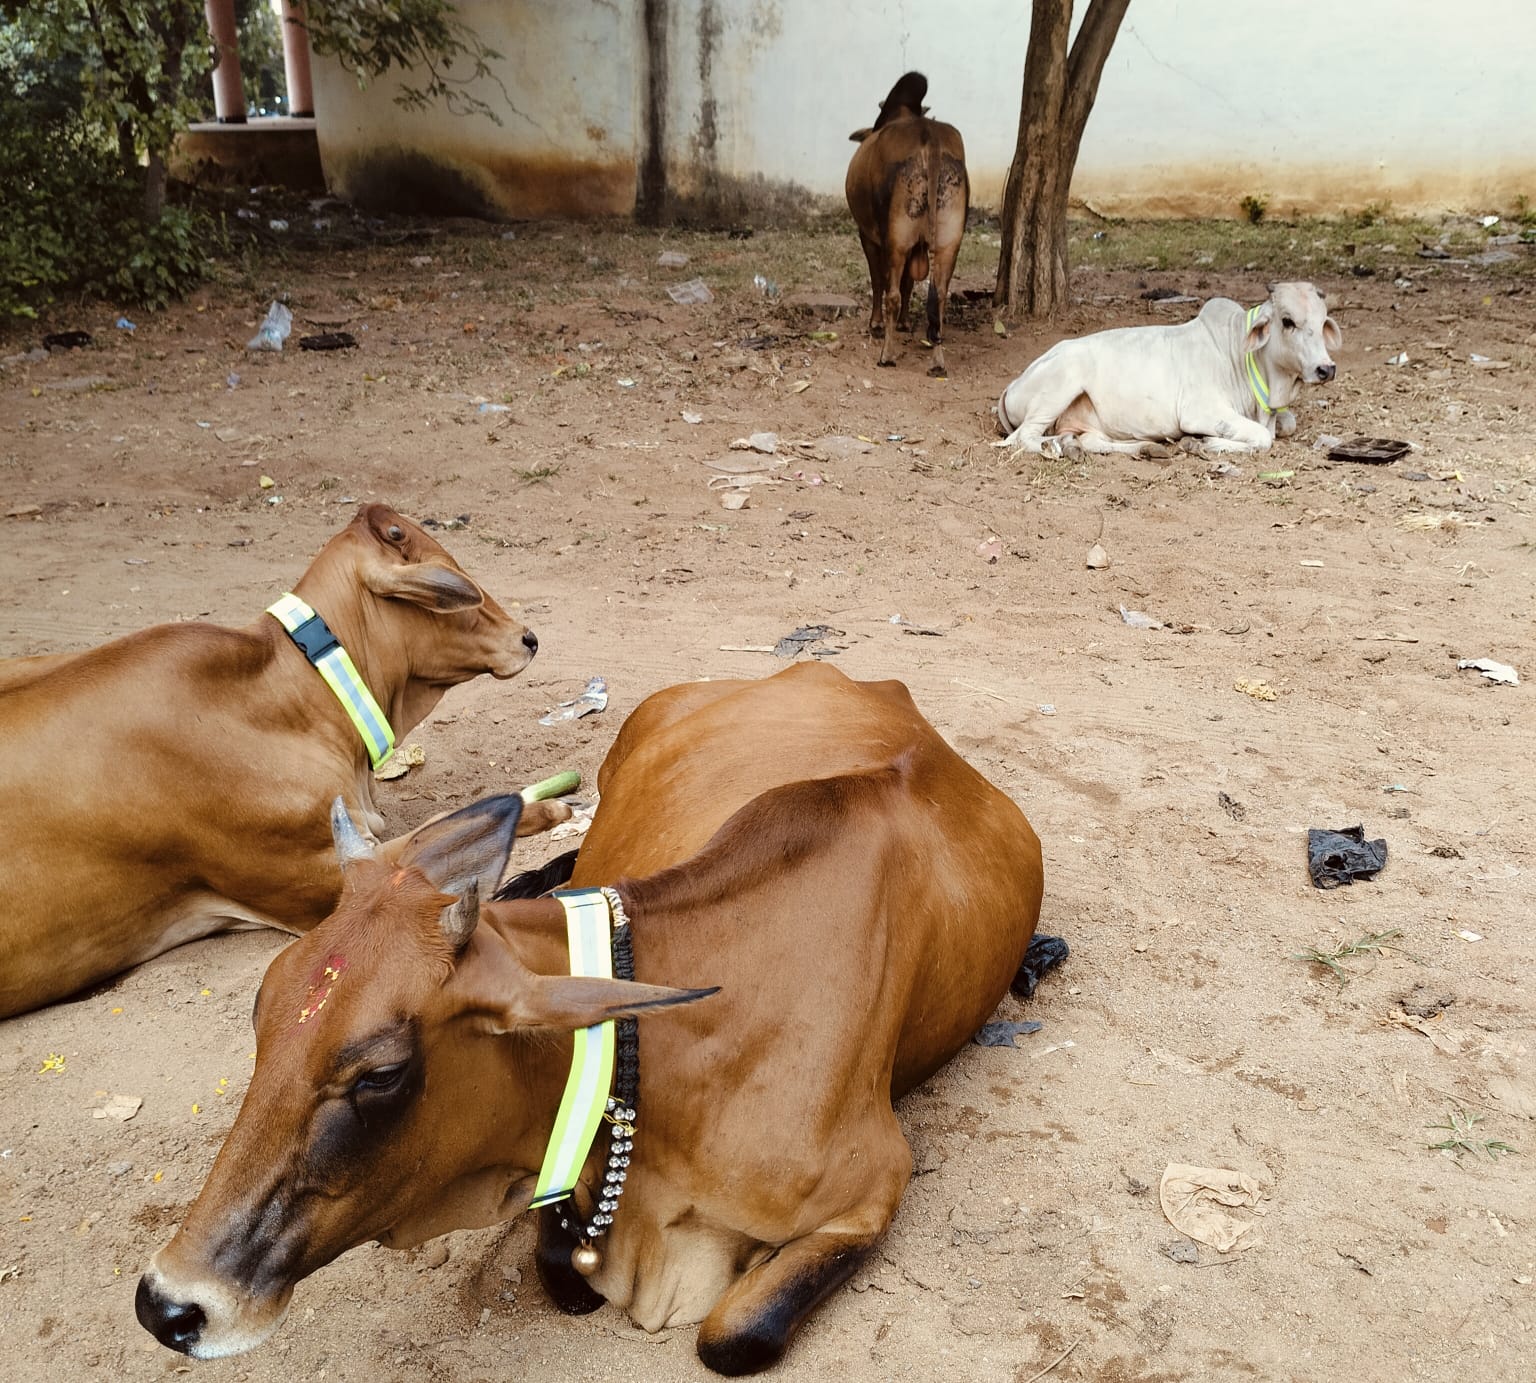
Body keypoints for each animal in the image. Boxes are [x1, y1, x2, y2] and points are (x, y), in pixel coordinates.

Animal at [138, 660, 1062, 1370]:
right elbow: (561, 1261)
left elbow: (734, 1335)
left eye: (383, 1072)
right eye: (262, 1008)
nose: (167, 1302)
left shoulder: (873, 1189)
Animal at [847, 68, 964, 373]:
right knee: (940, 297)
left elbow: (879, 280)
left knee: (891, 294)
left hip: (897, 238)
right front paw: (905, 322)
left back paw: (887, 354)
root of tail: (929, 135)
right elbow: (910, 284)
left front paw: (877, 324)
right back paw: (937, 361)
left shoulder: (868, 234)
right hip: (949, 241)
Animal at [1001, 282, 1339, 457]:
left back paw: (1144, 448)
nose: (1326, 369)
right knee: (1023, 437)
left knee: (1091, 441)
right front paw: (1204, 443)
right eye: (1287, 321)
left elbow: (1286, 424)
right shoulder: (1200, 411)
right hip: (1059, 387)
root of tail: (1012, 385)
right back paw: (1054, 447)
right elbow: (1262, 437)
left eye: (1323, 321)